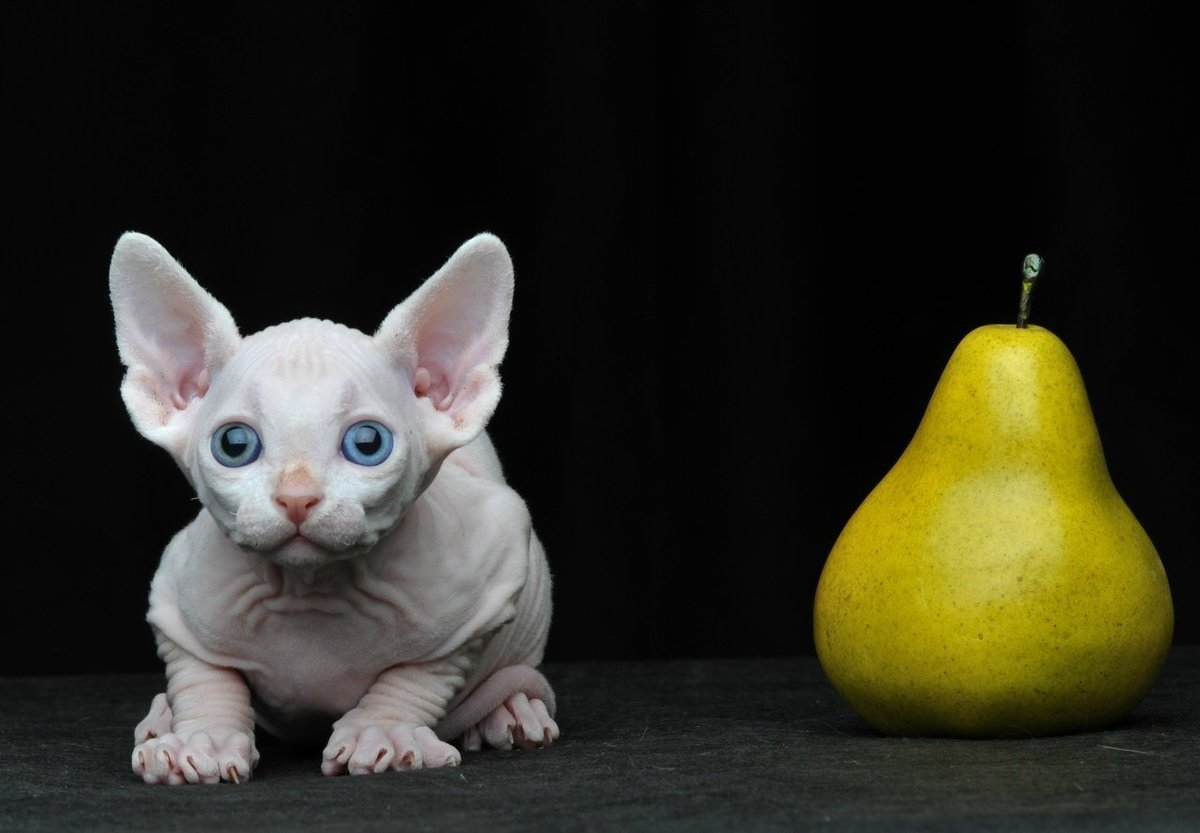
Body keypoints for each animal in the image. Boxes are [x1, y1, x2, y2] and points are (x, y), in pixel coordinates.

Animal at [109, 231, 556, 787]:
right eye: (234, 444)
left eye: (368, 443)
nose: (297, 497)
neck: (310, 587)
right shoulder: (174, 599)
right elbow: (203, 674)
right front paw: (203, 736)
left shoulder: (499, 564)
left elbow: (424, 672)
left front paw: (385, 730)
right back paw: (160, 716)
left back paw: (512, 711)